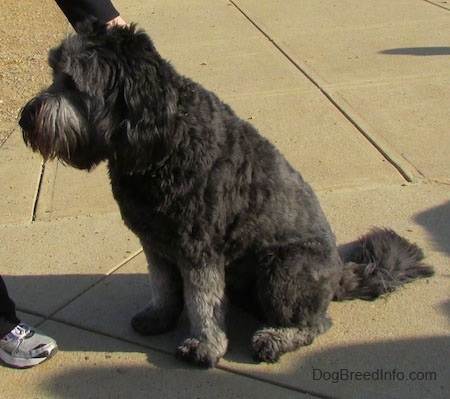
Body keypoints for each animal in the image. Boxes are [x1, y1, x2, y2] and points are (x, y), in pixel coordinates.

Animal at [20, 22, 432, 368]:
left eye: (72, 84)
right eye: (54, 74)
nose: (24, 119)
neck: (163, 141)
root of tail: (338, 274)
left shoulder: (199, 248)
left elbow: (202, 301)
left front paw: (204, 346)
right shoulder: (155, 243)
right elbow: (164, 286)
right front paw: (160, 316)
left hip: (284, 269)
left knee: (317, 322)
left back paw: (274, 338)